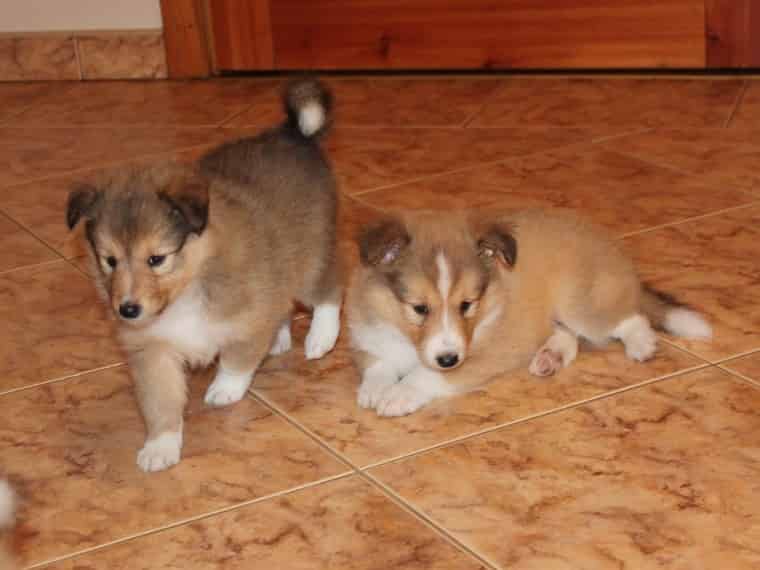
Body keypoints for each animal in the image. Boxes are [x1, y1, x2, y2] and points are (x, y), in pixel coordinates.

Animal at [67, 80, 340, 470]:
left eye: (156, 259)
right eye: (109, 260)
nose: (128, 310)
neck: (188, 287)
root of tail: (293, 132)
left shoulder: (249, 310)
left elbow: (238, 356)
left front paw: (225, 389)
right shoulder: (152, 350)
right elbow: (160, 401)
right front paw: (160, 446)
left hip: (310, 254)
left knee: (329, 286)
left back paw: (320, 338)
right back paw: (281, 338)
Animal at [348, 206, 708, 414]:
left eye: (467, 304)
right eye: (419, 308)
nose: (449, 358)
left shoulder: (485, 354)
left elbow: (428, 375)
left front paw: (398, 395)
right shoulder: (369, 336)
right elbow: (378, 363)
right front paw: (374, 389)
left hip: (580, 303)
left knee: (629, 317)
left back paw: (641, 345)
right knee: (567, 336)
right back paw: (550, 358)